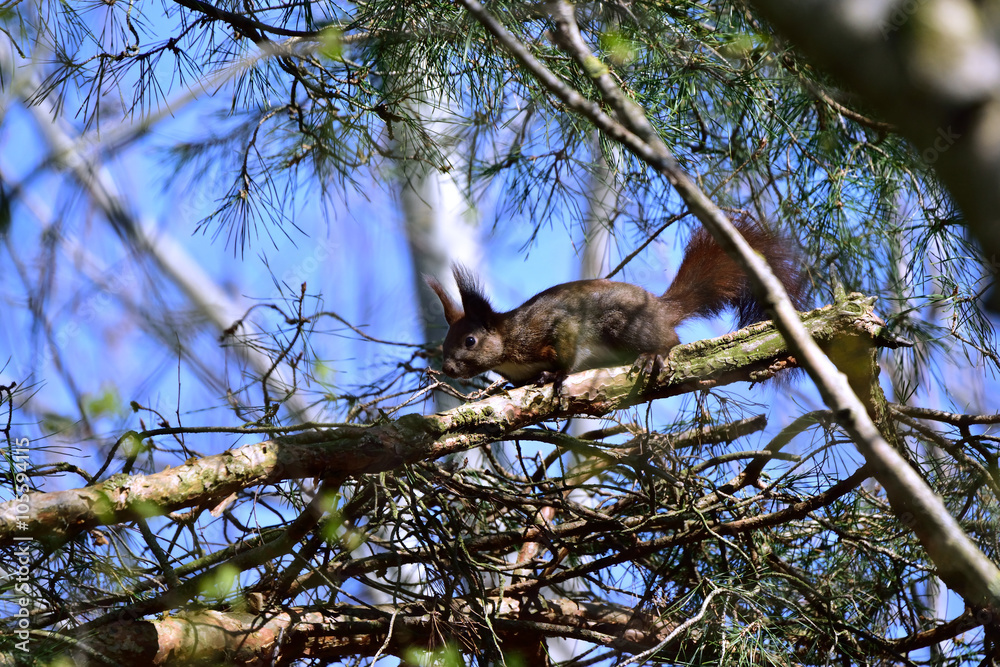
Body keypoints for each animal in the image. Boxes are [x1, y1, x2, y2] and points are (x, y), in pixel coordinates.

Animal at [426, 216, 803, 386]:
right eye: (445, 343)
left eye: (470, 341)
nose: (447, 369)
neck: (508, 342)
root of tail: (661, 309)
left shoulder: (551, 326)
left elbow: (567, 349)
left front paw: (556, 375)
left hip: (624, 324)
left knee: (671, 340)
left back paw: (653, 355)